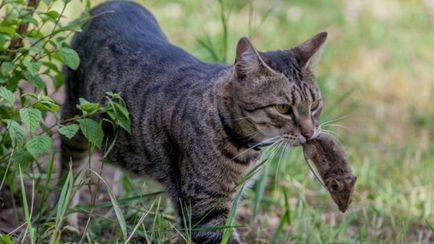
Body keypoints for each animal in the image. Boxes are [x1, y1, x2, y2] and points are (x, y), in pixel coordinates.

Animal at [60, 1, 326, 242]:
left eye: (314, 104)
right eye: (283, 108)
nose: (310, 132)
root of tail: (110, 3)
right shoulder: (205, 208)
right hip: (74, 121)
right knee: (69, 173)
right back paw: (66, 221)